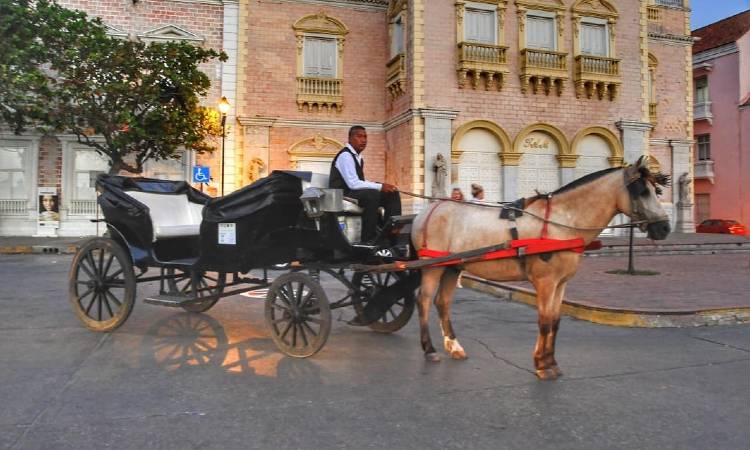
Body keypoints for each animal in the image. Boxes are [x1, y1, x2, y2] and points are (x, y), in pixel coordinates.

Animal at [414, 156, 672, 378]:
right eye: (642, 191)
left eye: (656, 191)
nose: (665, 228)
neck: (562, 222)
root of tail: (428, 211)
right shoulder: (545, 282)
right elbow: (545, 321)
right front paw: (541, 364)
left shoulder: (561, 283)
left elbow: (555, 322)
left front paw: (551, 362)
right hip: (433, 267)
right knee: (424, 300)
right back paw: (429, 349)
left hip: (452, 267)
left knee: (442, 303)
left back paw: (454, 346)